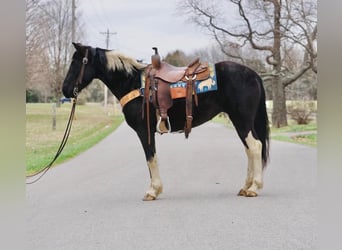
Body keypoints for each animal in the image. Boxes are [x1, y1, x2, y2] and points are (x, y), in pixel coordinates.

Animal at [61, 42, 270, 200]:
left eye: (76, 62)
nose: (65, 90)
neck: (133, 83)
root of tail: (254, 74)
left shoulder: (144, 131)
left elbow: (151, 159)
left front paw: (153, 191)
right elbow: (151, 160)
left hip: (242, 120)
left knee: (255, 147)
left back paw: (254, 188)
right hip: (241, 121)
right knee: (249, 149)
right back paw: (246, 187)